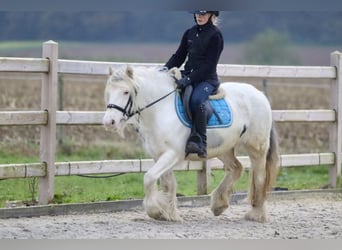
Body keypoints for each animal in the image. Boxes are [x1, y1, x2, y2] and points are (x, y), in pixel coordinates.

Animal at [103, 65, 280, 223]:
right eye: (109, 92)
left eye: (126, 92)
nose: (109, 122)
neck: (161, 110)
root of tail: (260, 94)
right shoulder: (159, 155)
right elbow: (168, 184)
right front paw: (169, 213)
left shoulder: (173, 154)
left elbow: (149, 177)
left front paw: (155, 211)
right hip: (224, 148)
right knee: (237, 168)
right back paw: (219, 205)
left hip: (257, 148)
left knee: (259, 177)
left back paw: (256, 214)